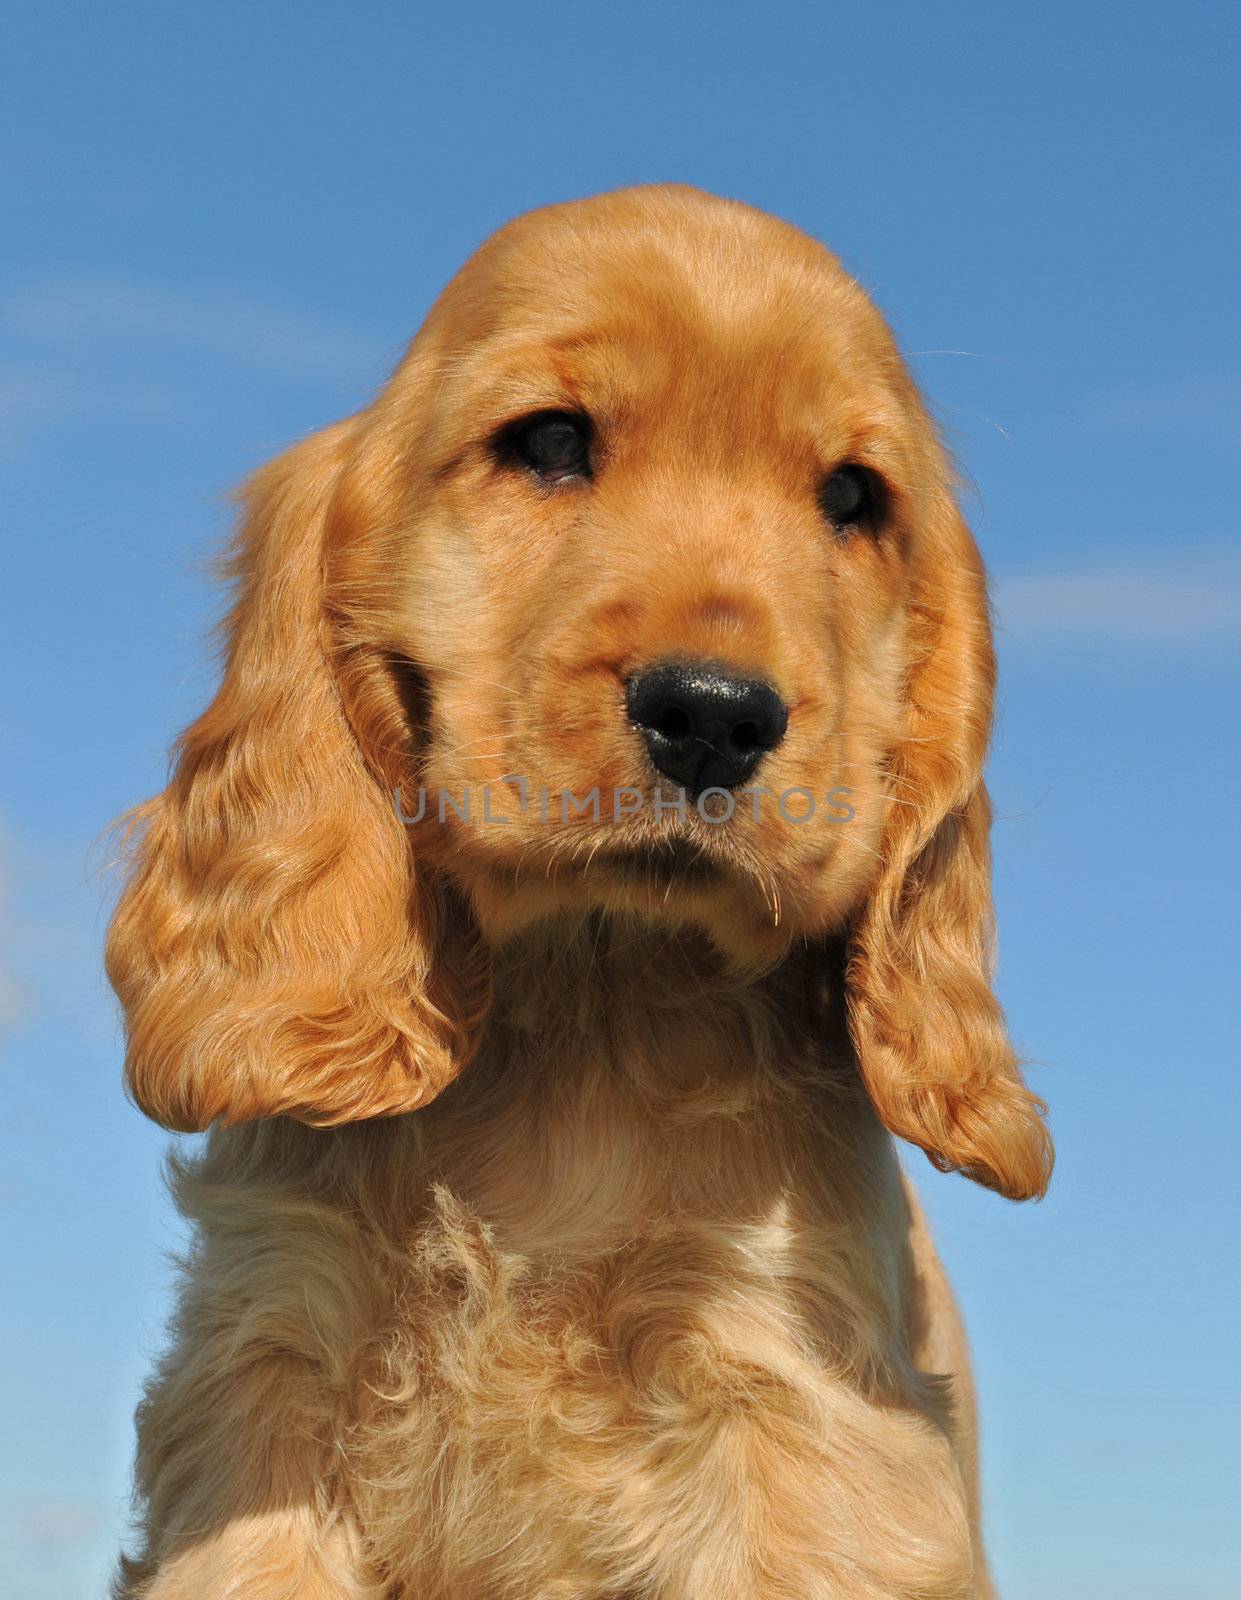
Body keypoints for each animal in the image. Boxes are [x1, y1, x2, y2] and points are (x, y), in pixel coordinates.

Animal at [111, 184, 1049, 1600]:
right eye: (549, 441)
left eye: (850, 497)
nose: (712, 716)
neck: (589, 997)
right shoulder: (268, 1355)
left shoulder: (793, 1388)